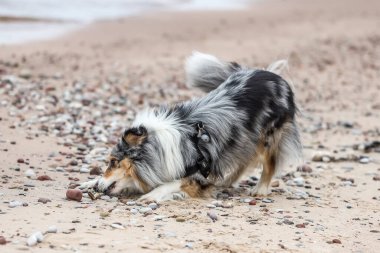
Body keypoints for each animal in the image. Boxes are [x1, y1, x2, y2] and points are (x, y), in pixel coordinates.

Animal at [80, 52, 302, 203]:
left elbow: (171, 183)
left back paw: (260, 189)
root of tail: (271, 74)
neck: (158, 149)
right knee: (242, 161)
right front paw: (90, 182)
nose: (99, 188)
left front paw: (152, 195)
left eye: (113, 162)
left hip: (268, 137)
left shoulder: (199, 171)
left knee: (269, 164)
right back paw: (227, 182)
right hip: (242, 141)